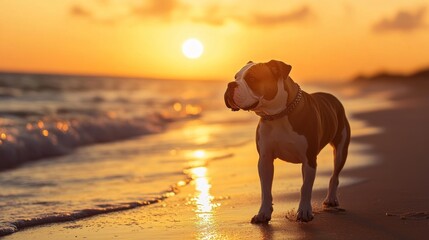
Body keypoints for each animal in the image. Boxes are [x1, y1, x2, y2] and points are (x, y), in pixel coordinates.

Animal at [222, 60, 350, 223]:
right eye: (236, 77)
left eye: (251, 79)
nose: (230, 84)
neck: (278, 115)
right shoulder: (265, 160)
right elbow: (265, 189)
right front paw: (263, 213)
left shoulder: (309, 159)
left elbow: (305, 188)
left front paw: (304, 211)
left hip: (340, 150)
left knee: (335, 175)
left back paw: (331, 199)